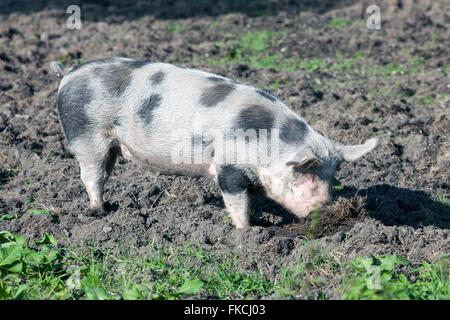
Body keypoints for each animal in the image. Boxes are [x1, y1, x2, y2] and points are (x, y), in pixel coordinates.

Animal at [50, 57, 380, 228]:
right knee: (90, 175)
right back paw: (99, 211)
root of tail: (70, 72)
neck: (268, 146)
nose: (326, 209)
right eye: (306, 176)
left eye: (331, 177)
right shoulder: (228, 166)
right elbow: (237, 202)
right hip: (86, 134)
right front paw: (248, 233)